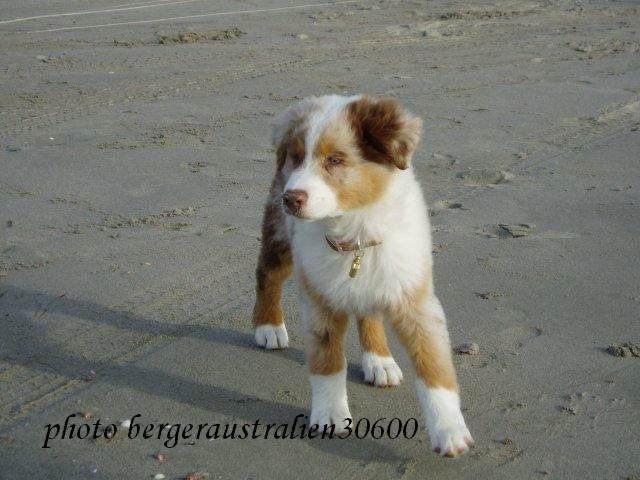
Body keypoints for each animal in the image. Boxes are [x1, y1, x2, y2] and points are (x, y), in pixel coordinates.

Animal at [252, 94, 472, 458]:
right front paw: (330, 416)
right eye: (296, 158)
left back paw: (379, 360)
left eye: (335, 160)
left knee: (368, 310)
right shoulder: (319, 298)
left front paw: (450, 430)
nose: (291, 199)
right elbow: (327, 362)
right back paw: (268, 326)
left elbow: (434, 366)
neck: (355, 231)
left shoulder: (415, 296)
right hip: (280, 234)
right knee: (266, 275)